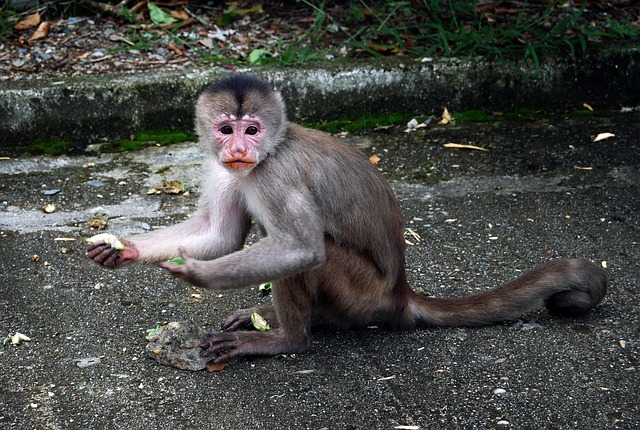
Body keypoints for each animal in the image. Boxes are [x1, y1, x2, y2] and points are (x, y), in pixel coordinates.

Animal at [87, 74, 607, 364]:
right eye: (227, 129)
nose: (238, 148)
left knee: (310, 255)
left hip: (361, 293)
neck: (269, 150)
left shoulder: (274, 172)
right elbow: (222, 235)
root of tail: (400, 293)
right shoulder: (224, 167)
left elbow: (302, 248)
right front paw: (125, 250)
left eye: (252, 130)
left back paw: (290, 339)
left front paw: (198, 275)